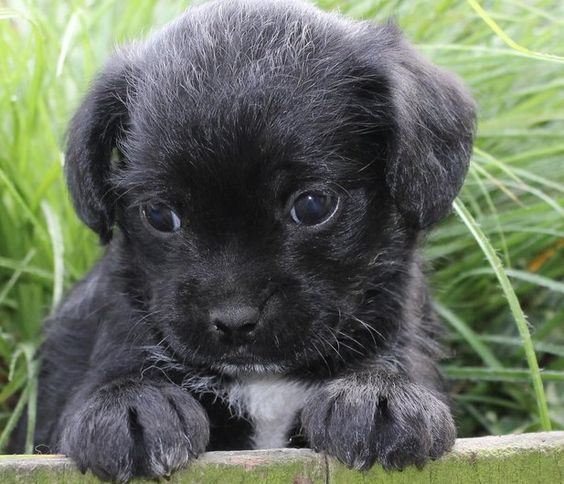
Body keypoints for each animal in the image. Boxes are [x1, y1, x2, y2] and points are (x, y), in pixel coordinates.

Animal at [9, 0, 476, 480]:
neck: (262, 381)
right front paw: (130, 403)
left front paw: (379, 393)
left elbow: (397, 357)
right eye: (159, 215)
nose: (235, 320)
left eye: (312, 206)